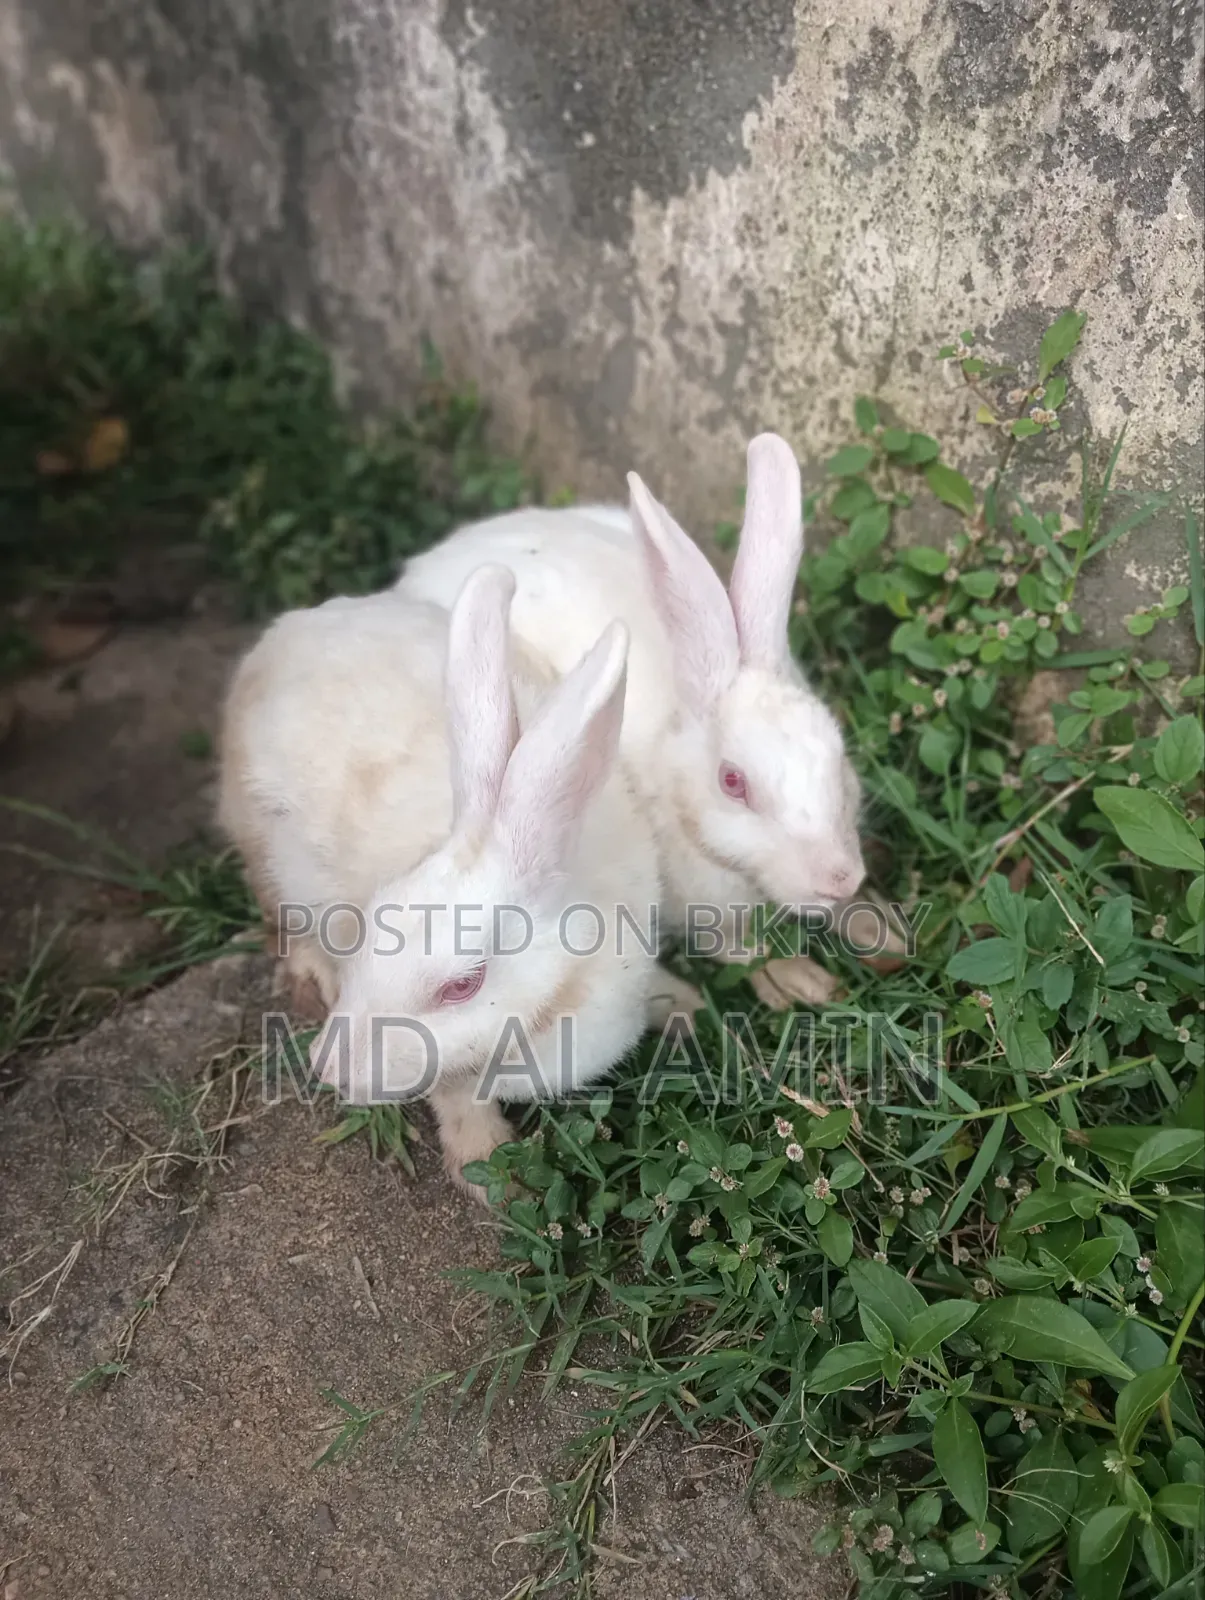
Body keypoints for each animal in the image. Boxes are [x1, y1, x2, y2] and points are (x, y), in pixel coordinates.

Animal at [217, 565, 699, 1198]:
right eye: (372, 922)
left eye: (462, 986)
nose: (328, 1066)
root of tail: (289, 630)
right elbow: (456, 1101)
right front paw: (493, 1174)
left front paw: (689, 1010)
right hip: (261, 846)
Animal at [395, 434, 872, 1010]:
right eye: (733, 782)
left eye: (839, 758)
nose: (841, 877)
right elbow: (736, 948)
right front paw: (800, 982)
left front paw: (875, 929)